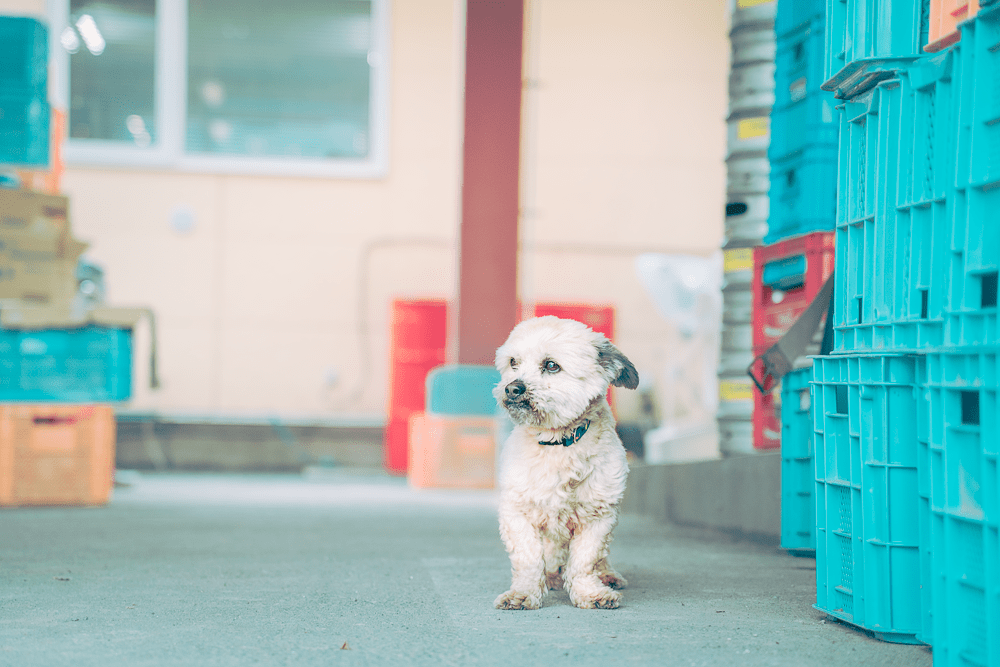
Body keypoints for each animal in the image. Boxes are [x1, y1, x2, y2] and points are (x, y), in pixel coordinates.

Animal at [492, 318, 640, 612]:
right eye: (513, 362)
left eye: (551, 365)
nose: (512, 388)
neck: (557, 444)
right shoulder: (516, 512)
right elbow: (528, 558)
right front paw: (523, 593)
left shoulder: (599, 516)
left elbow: (585, 561)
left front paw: (589, 592)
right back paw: (551, 577)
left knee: (598, 558)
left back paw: (606, 575)